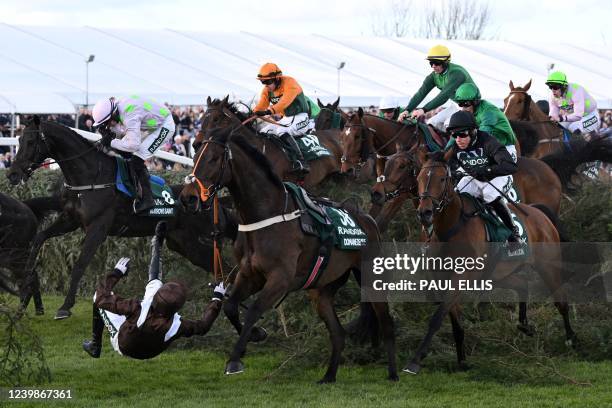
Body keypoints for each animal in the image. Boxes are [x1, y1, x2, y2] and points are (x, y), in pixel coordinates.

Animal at [7, 116, 237, 320]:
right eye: (18, 140)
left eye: (30, 142)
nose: (12, 174)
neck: (91, 177)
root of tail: (212, 201)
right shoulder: (70, 220)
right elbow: (39, 238)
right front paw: (26, 280)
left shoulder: (98, 228)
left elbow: (80, 264)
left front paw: (65, 306)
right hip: (187, 246)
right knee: (225, 271)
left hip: (201, 241)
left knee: (227, 269)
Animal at [178, 126, 396, 382]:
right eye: (194, 157)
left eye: (213, 159)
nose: (188, 197)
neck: (267, 215)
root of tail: (370, 221)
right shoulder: (250, 274)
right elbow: (230, 305)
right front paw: (255, 335)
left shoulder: (280, 279)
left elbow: (253, 310)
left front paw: (234, 359)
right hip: (322, 290)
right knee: (338, 333)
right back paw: (328, 376)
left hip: (372, 280)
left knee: (387, 323)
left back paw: (393, 374)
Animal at [404, 148, 576, 374]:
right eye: (420, 178)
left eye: (442, 179)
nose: (425, 213)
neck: (450, 228)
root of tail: (539, 213)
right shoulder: (444, 278)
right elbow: (455, 321)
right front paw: (462, 361)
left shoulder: (461, 277)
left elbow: (437, 317)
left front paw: (415, 360)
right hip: (497, 274)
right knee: (522, 284)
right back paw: (524, 324)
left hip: (547, 266)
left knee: (561, 300)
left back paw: (571, 339)